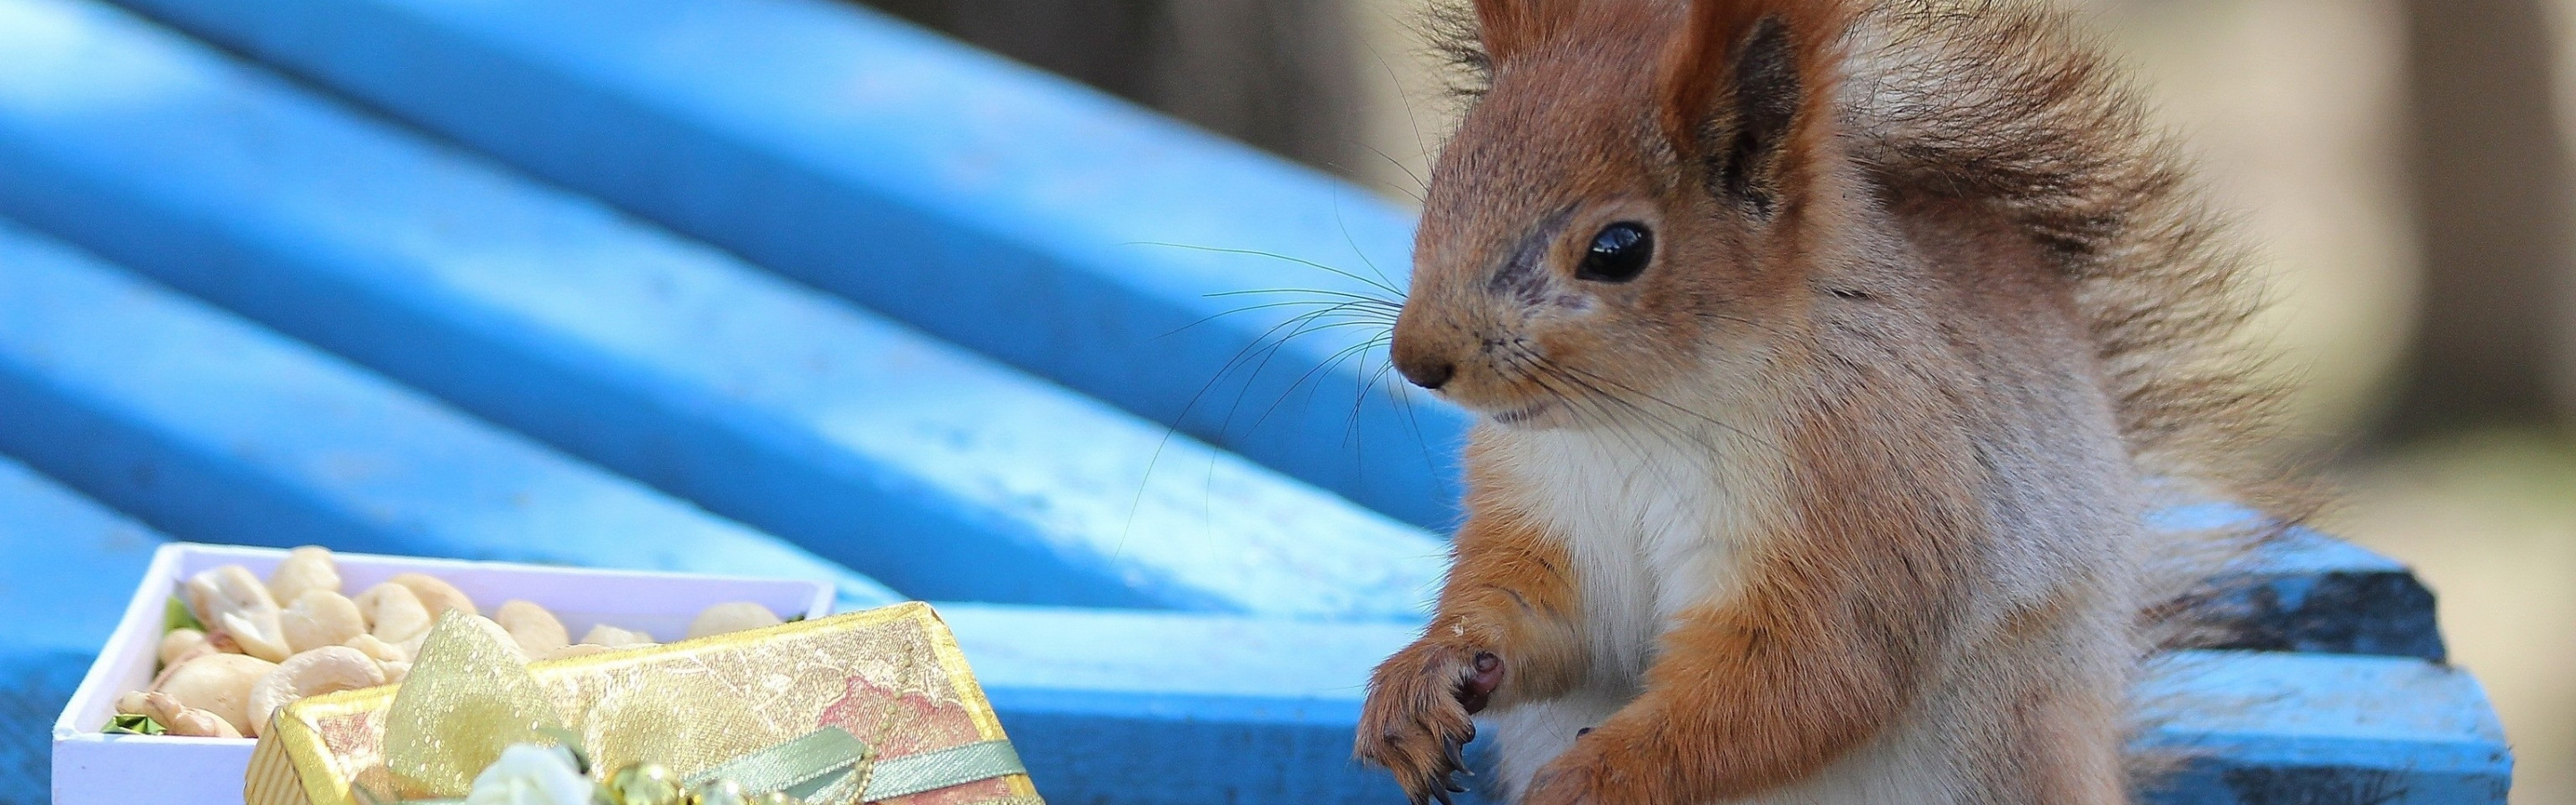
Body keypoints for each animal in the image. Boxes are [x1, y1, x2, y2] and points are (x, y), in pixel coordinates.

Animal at [1350, 0, 2297, 800]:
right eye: (1442, 182)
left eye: (1618, 249)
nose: (1418, 360)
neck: (1638, 423)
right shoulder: (1546, 509)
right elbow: (1533, 616)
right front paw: (1422, 679)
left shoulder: (1872, 488)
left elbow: (1813, 675)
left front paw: (1595, 778)